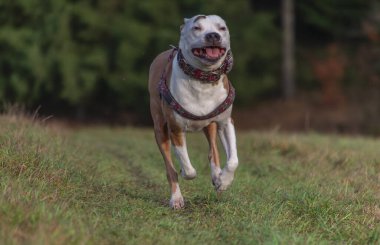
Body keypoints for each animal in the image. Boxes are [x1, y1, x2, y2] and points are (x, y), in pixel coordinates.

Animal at [148, 14, 238, 209]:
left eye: (222, 28)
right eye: (197, 27)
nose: (213, 36)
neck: (203, 78)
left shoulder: (225, 122)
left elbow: (233, 160)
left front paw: (224, 181)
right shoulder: (175, 128)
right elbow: (188, 168)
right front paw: (185, 171)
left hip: (210, 126)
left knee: (213, 151)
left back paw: (217, 176)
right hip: (160, 129)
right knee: (170, 168)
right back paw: (176, 198)